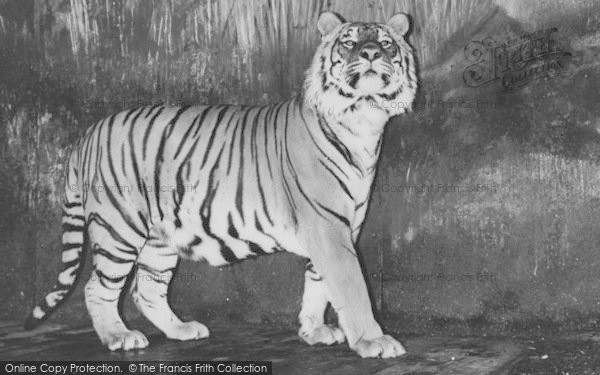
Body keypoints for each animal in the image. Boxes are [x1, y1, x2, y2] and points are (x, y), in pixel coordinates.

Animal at [23, 10, 418, 360]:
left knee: (146, 288)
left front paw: (313, 330)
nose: (371, 53)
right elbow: (352, 286)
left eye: (386, 42)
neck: (364, 120)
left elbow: (318, 283)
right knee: (98, 287)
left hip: (161, 236)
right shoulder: (328, 228)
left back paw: (182, 329)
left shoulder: (341, 226)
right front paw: (373, 341)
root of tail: (88, 133)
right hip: (118, 228)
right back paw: (119, 336)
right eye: (349, 42)